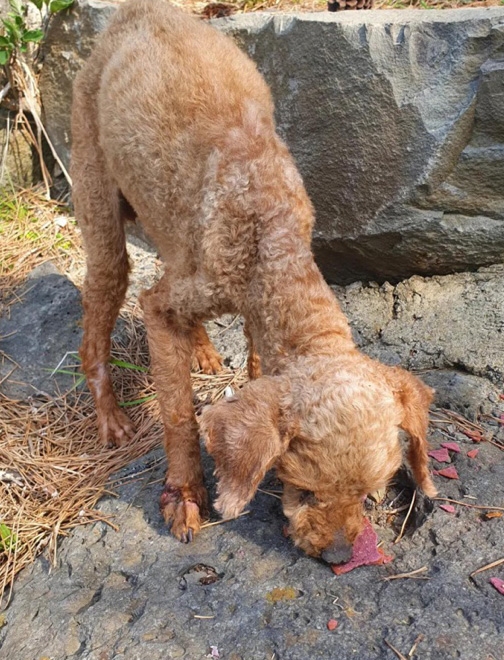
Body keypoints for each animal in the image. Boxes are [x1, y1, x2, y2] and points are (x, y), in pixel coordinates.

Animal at [72, 0, 438, 560]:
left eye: (368, 493)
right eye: (305, 491)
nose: (338, 555)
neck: (270, 228)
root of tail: (139, 11)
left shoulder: (248, 305)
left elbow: (257, 358)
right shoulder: (167, 305)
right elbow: (177, 413)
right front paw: (185, 493)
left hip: (168, 225)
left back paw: (201, 349)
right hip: (100, 208)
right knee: (97, 324)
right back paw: (110, 417)